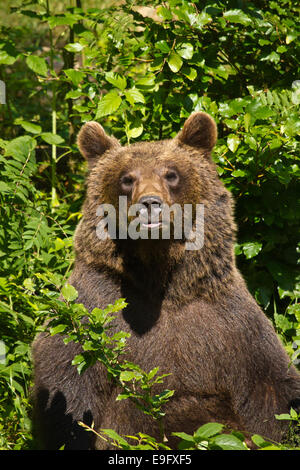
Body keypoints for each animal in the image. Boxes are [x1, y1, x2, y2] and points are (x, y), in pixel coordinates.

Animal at [31, 112, 300, 450]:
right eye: (127, 178)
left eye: (171, 174)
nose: (150, 203)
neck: (162, 281)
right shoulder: (91, 308)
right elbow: (68, 393)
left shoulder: (234, 327)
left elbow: (276, 394)